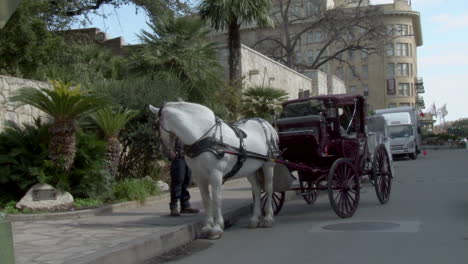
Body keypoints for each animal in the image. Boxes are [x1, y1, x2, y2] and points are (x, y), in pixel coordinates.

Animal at [152, 102, 280, 240]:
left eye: (155, 125)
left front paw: (217, 228)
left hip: (268, 165)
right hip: (250, 170)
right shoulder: (199, 177)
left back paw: (268, 219)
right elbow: (206, 201)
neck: (203, 137)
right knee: (256, 190)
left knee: (269, 189)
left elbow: (216, 199)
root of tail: (265, 123)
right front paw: (207, 227)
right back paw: (255, 219)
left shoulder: (216, 174)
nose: (163, 151)